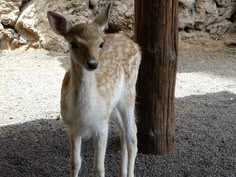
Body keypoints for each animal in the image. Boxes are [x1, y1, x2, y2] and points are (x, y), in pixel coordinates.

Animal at [47, 3, 141, 177]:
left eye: (100, 43)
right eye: (73, 43)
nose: (92, 63)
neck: (84, 114)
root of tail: (135, 45)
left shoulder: (101, 128)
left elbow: (98, 169)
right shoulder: (72, 128)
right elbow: (75, 163)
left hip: (129, 93)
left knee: (132, 136)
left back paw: (129, 172)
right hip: (112, 108)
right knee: (123, 132)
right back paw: (122, 172)